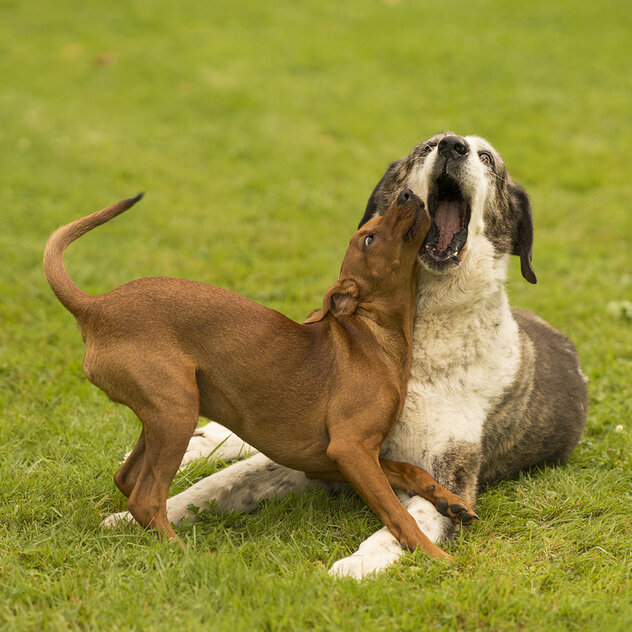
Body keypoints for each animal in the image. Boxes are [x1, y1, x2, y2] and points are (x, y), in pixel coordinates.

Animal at [43, 189, 474, 556]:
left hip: (165, 412)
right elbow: (398, 514)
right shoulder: (349, 449)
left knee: (127, 478)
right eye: (369, 239)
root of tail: (94, 306)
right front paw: (435, 557)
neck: (370, 334)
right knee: (146, 499)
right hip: (177, 410)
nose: (407, 194)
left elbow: (408, 469)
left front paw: (448, 500)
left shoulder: (330, 462)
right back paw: (185, 554)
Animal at [103, 132, 588, 576]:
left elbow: (403, 521)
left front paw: (355, 566)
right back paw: (192, 445)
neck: (411, 338)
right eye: (425, 147)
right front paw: (131, 517)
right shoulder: (313, 453)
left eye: (486, 158)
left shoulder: (448, 474)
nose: (453, 146)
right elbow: (214, 487)